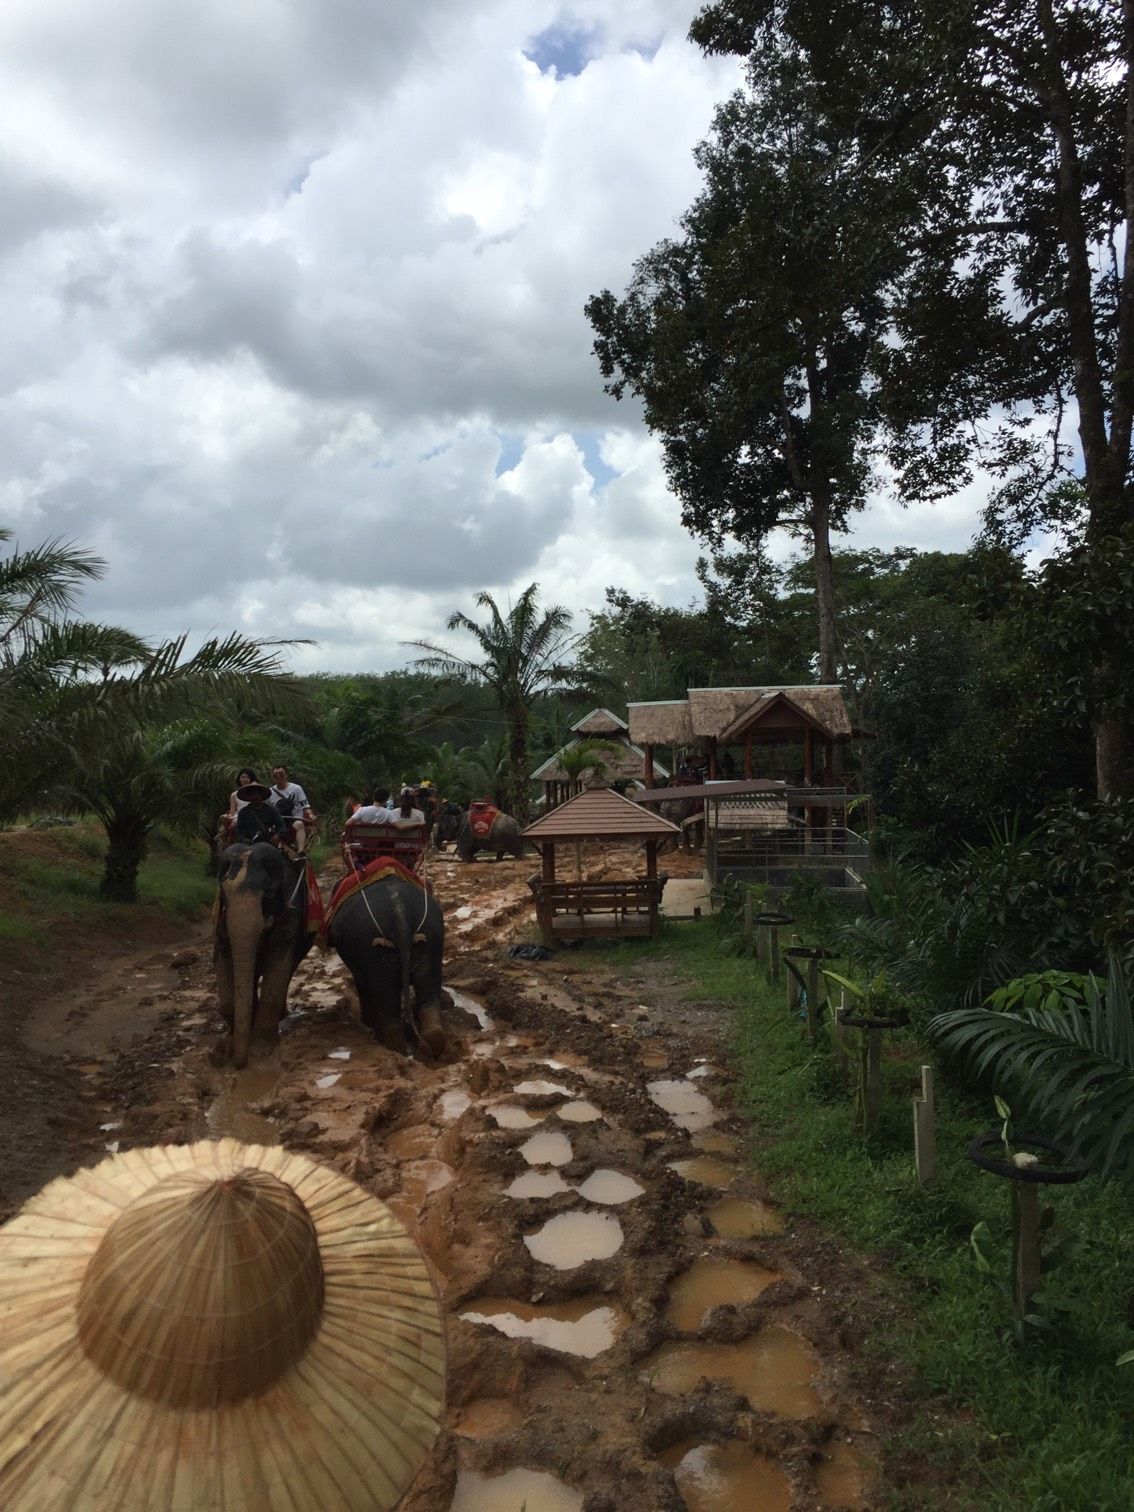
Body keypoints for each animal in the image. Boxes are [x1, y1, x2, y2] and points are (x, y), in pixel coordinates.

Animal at [211, 840, 311, 1076]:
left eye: (270, 896)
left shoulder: (291, 910)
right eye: (225, 897)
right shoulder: (221, 920)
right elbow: (223, 956)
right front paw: (228, 1047)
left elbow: (279, 961)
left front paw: (261, 1051)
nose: (239, 1065)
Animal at [326, 870, 447, 1058]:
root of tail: (400, 914)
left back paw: (392, 1047)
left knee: (385, 994)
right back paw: (433, 1041)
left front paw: (365, 1023)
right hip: (433, 937)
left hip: (370, 947)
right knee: (429, 986)